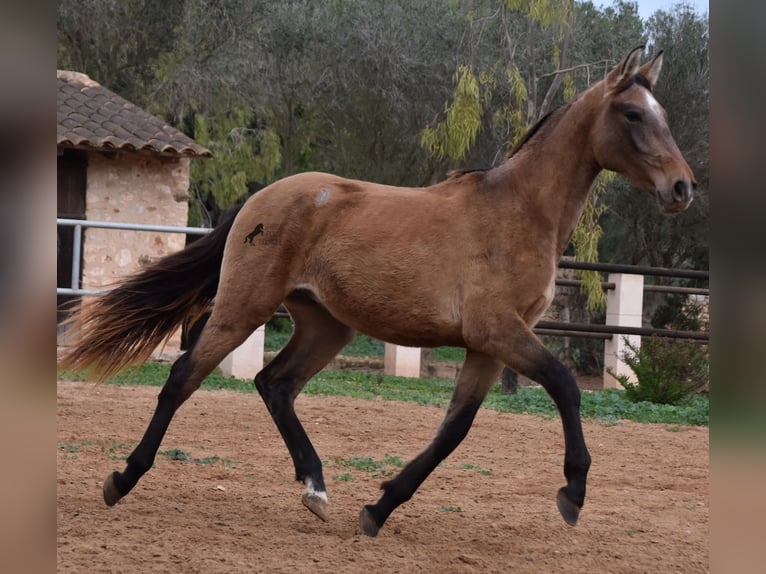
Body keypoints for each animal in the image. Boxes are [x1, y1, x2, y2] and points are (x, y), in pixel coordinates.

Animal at [60, 46, 696, 540]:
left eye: (663, 114)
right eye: (633, 113)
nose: (682, 188)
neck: (518, 211)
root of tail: (261, 197)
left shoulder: (487, 347)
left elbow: (453, 430)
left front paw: (378, 508)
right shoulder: (499, 331)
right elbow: (565, 385)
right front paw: (573, 493)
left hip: (325, 325)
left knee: (274, 384)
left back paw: (316, 491)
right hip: (244, 307)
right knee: (184, 377)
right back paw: (122, 479)